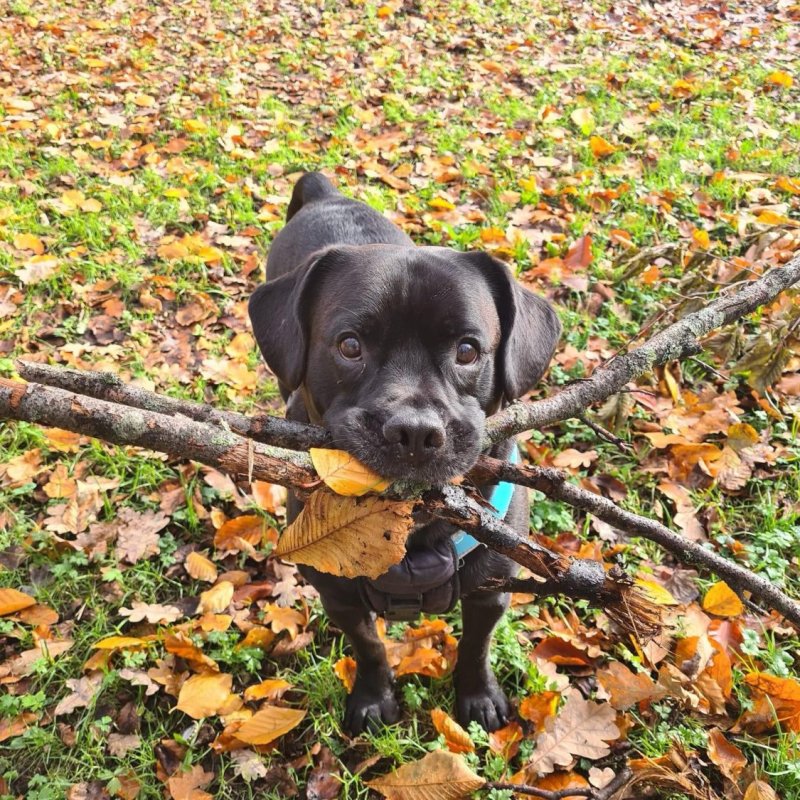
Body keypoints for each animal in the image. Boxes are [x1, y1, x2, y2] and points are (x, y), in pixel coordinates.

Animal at [249, 172, 560, 734]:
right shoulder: (339, 596)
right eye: (350, 345)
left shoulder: (490, 591)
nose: (414, 431)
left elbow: (476, 647)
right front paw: (374, 699)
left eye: (468, 351)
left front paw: (478, 698)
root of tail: (326, 194)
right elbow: (370, 647)